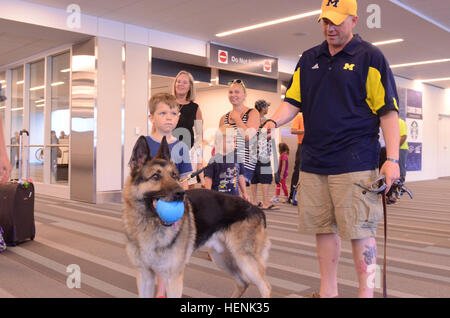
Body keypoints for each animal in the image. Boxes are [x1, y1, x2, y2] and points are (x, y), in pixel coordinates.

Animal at [123, 137, 270, 298]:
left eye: (174, 176)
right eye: (156, 176)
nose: (181, 194)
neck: (149, 224)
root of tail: (256, 209)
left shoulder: (173, 278)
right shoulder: (144, 277)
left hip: (245, 260)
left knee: (265, 287)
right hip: (222, 258)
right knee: (243, 282)